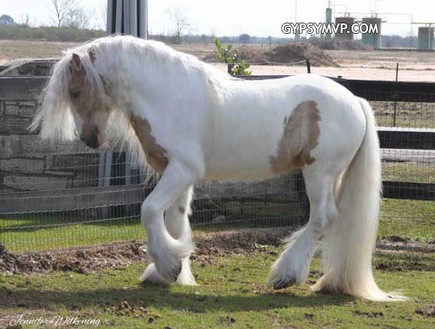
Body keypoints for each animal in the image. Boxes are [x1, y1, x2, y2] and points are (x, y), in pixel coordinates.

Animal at [31, 35, 408, 300]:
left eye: (76, 91)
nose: (89, 140)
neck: (165, 94)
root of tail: (355, 101)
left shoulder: (183, 169)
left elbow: (149, 210)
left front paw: (168, 265)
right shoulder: (177, 173)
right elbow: (175, 219)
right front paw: (172, 271)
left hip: (319, 172)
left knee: (323, 217)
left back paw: (285, 275)